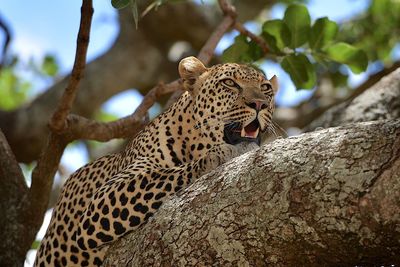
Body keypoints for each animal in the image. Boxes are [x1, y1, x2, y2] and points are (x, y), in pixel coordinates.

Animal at [34, 55, 278, 266]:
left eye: (266, 88)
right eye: (229, 83)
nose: (260, 104)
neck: (192, 142)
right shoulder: (100, 203)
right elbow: (165, 174)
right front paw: (218, 155)